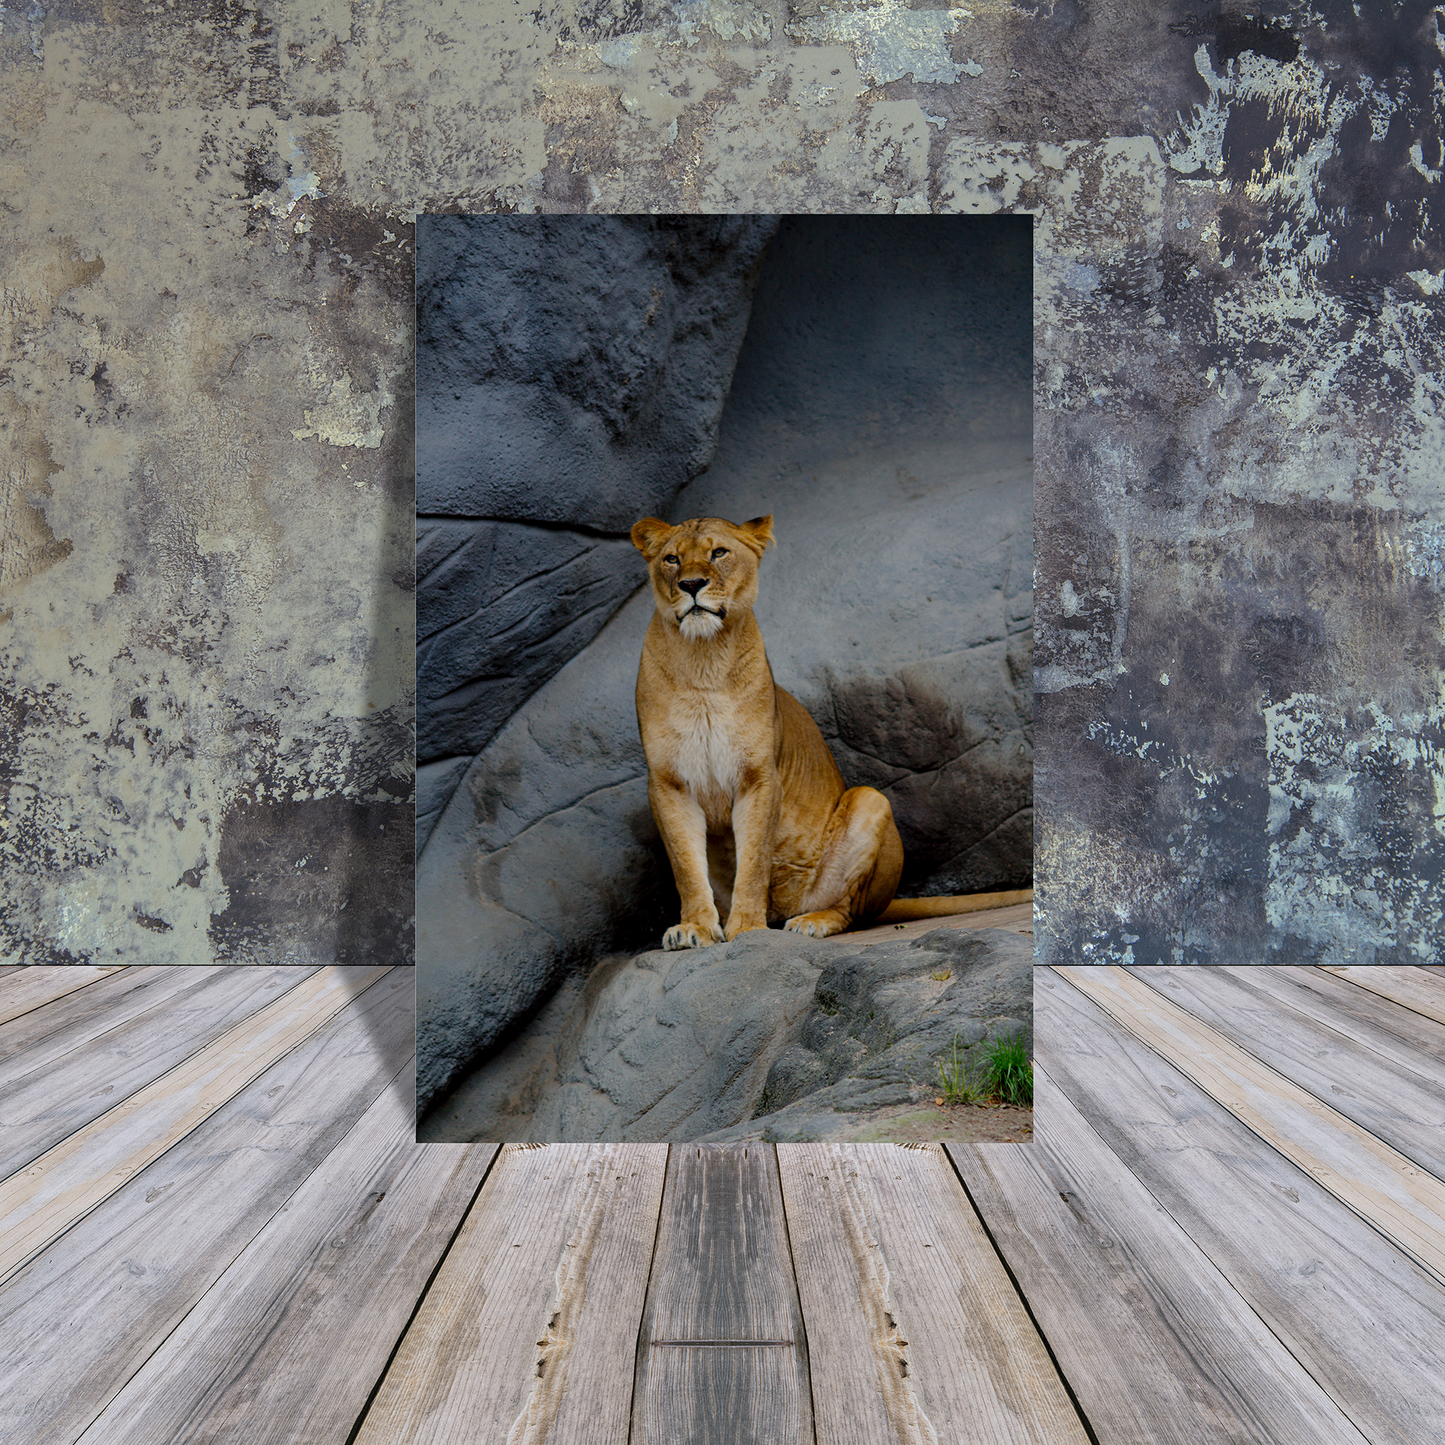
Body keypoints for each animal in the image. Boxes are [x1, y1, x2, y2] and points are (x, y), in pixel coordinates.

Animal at [630, 513, 904, 951]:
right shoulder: (669, 784)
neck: (703, 661)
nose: (691, 584)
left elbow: (755, 858)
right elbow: (686, 866)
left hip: (870, 801)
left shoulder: (759, 777)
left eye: (718, 553)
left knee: (850, 911)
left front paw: (747, 928)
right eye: (672, 559)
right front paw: (695, 927)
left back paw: (811, 922)